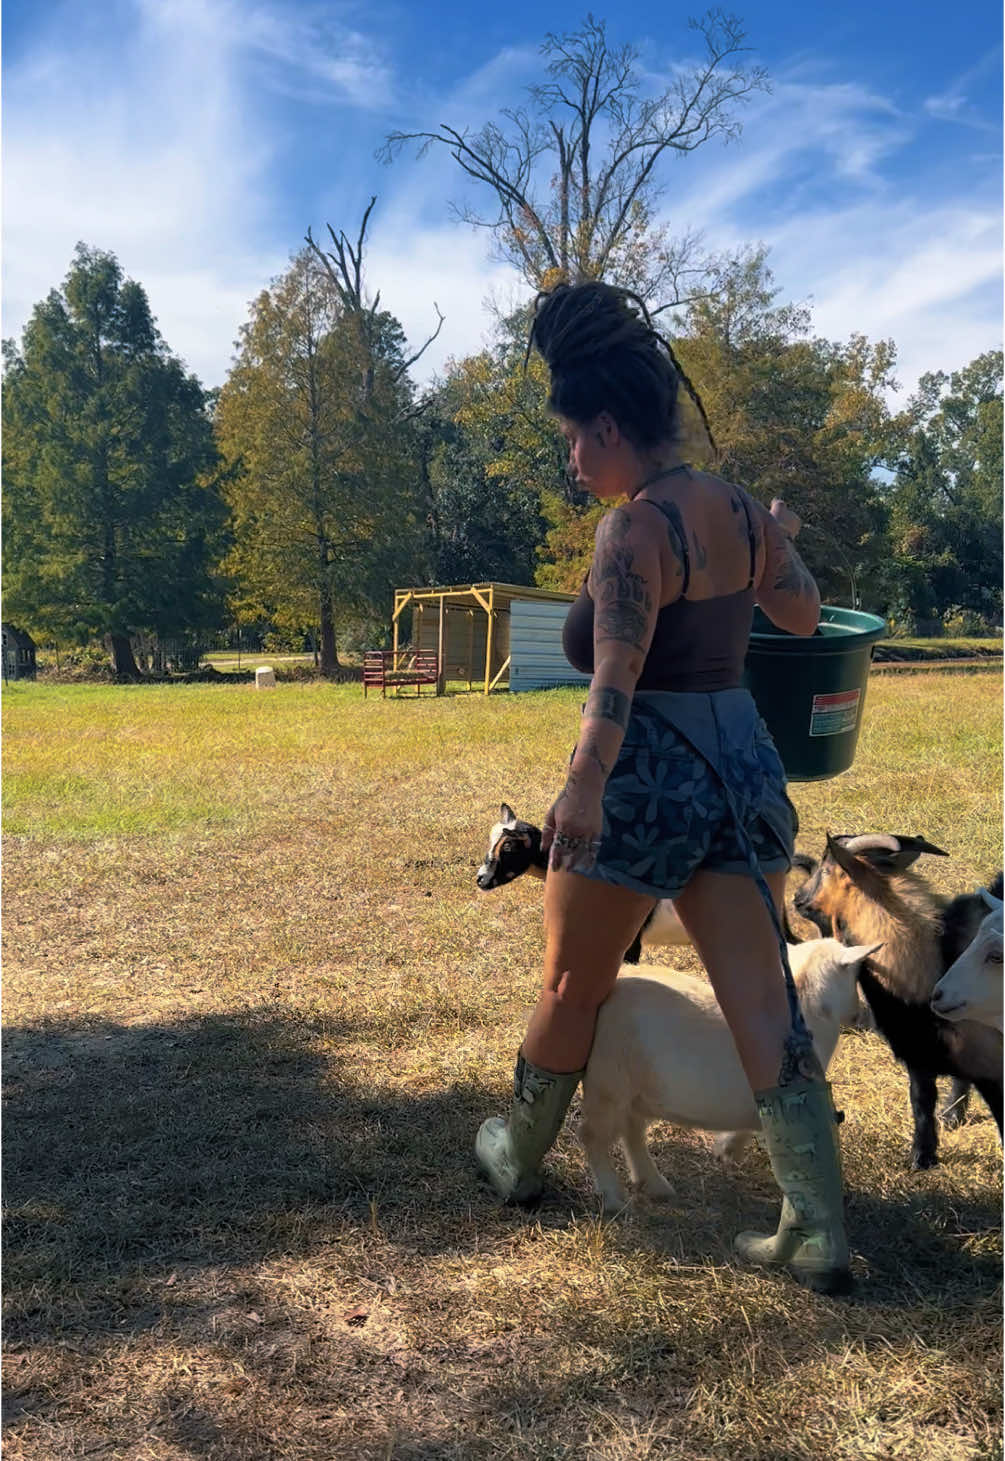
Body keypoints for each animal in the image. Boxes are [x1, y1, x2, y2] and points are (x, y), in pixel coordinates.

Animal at [581, 935, 876, 1209]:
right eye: (856, 975)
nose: (860, 1015)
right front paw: (728, 1150)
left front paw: (725, 1151)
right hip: (607, 1082)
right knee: (592, 1135)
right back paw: (613, 1197)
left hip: (637, 1089)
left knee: (631, 1131)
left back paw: (655, 1185)